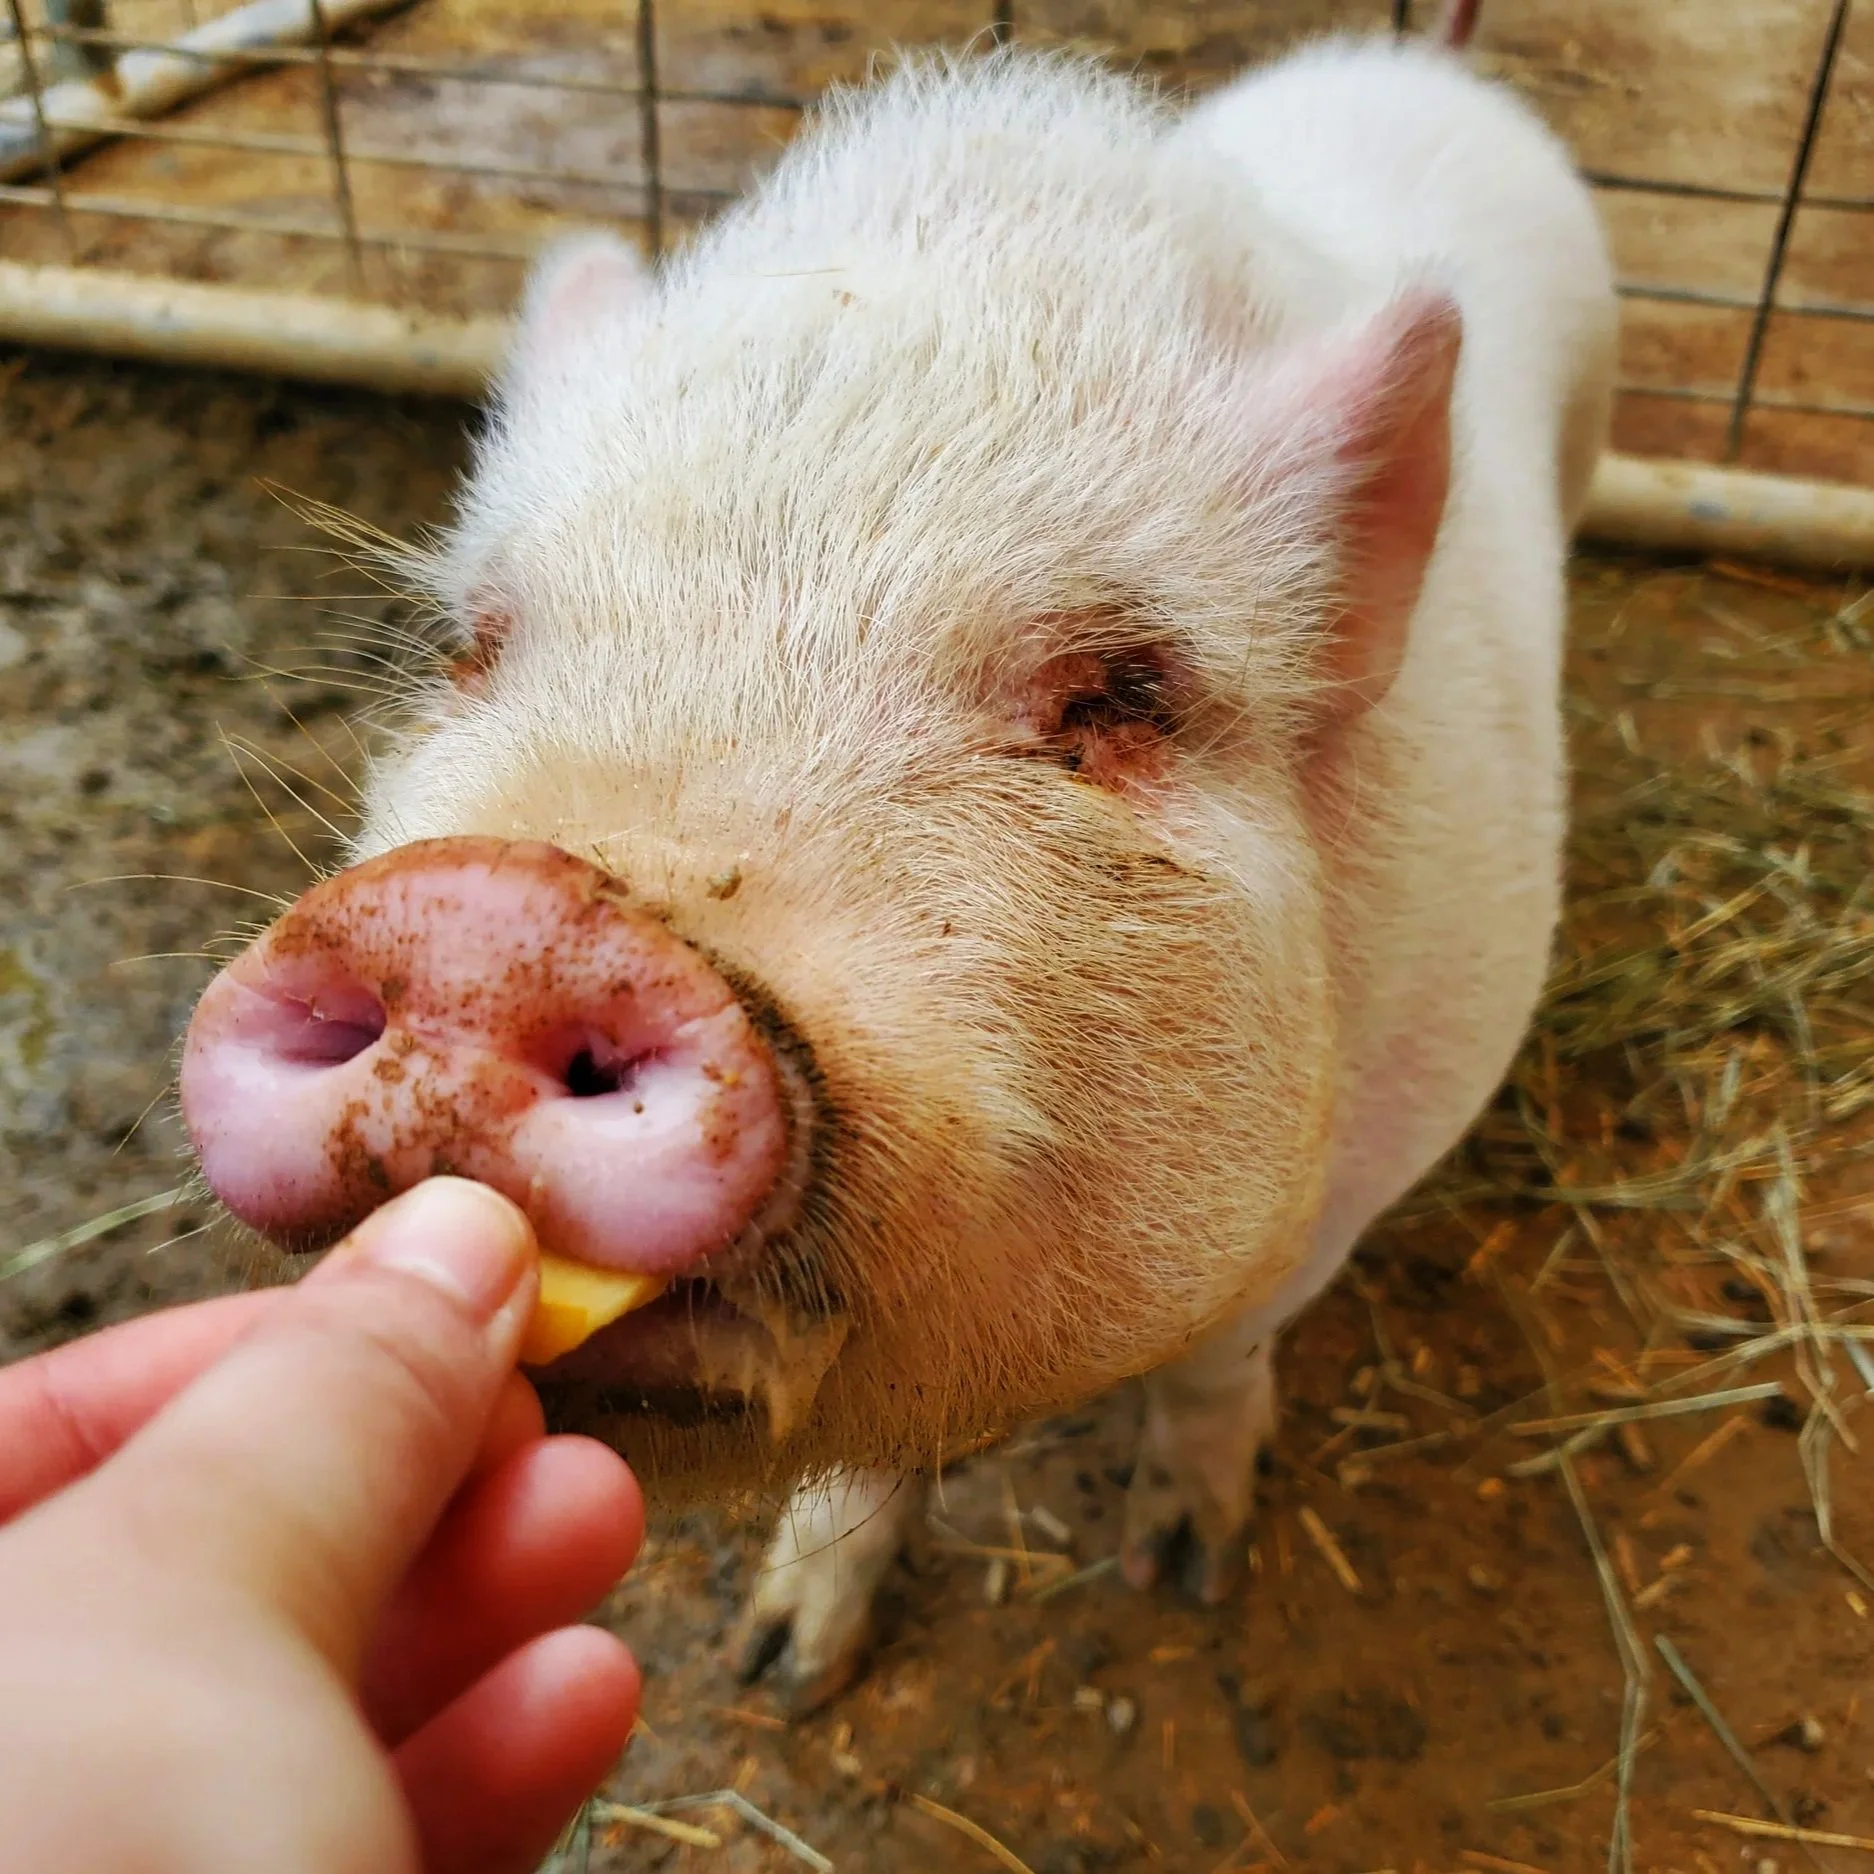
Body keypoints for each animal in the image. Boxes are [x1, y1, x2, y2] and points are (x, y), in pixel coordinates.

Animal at [178, 16, 1616, 1715]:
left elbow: (1220, 1361)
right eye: (475, 643)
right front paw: (779, 1665)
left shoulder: (1369, 1158)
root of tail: (1409, 59)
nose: (487, 913)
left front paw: (1182, 1567)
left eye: (1116, 697)